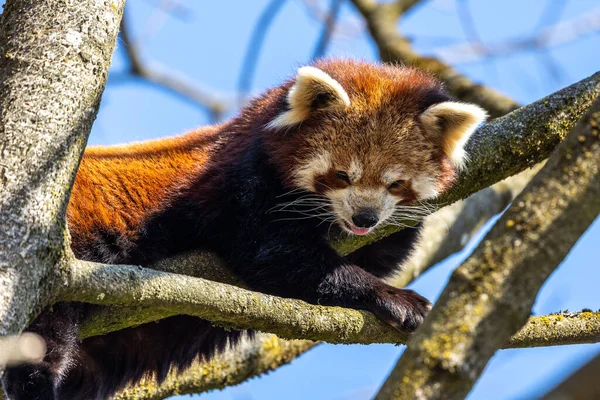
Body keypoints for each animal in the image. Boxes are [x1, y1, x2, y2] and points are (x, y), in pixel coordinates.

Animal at [1, 57, 488, 398]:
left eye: (395, 183)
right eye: (341, 176)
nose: (363, 218)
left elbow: (381, 253)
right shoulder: (237, 183)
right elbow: (275, 256)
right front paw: (393, 298)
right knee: (44, 329)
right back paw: (34, 383)